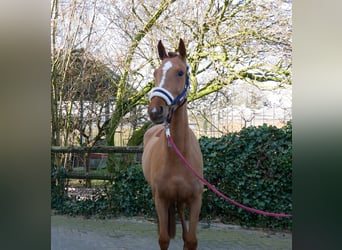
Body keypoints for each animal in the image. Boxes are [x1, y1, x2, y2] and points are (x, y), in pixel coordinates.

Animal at [142, 38, 203, 249]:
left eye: (180, 72)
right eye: (155, 73)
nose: (155, 111)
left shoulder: (195, 200)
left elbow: (190, 240)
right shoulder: (161, 199)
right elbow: (164, 238)